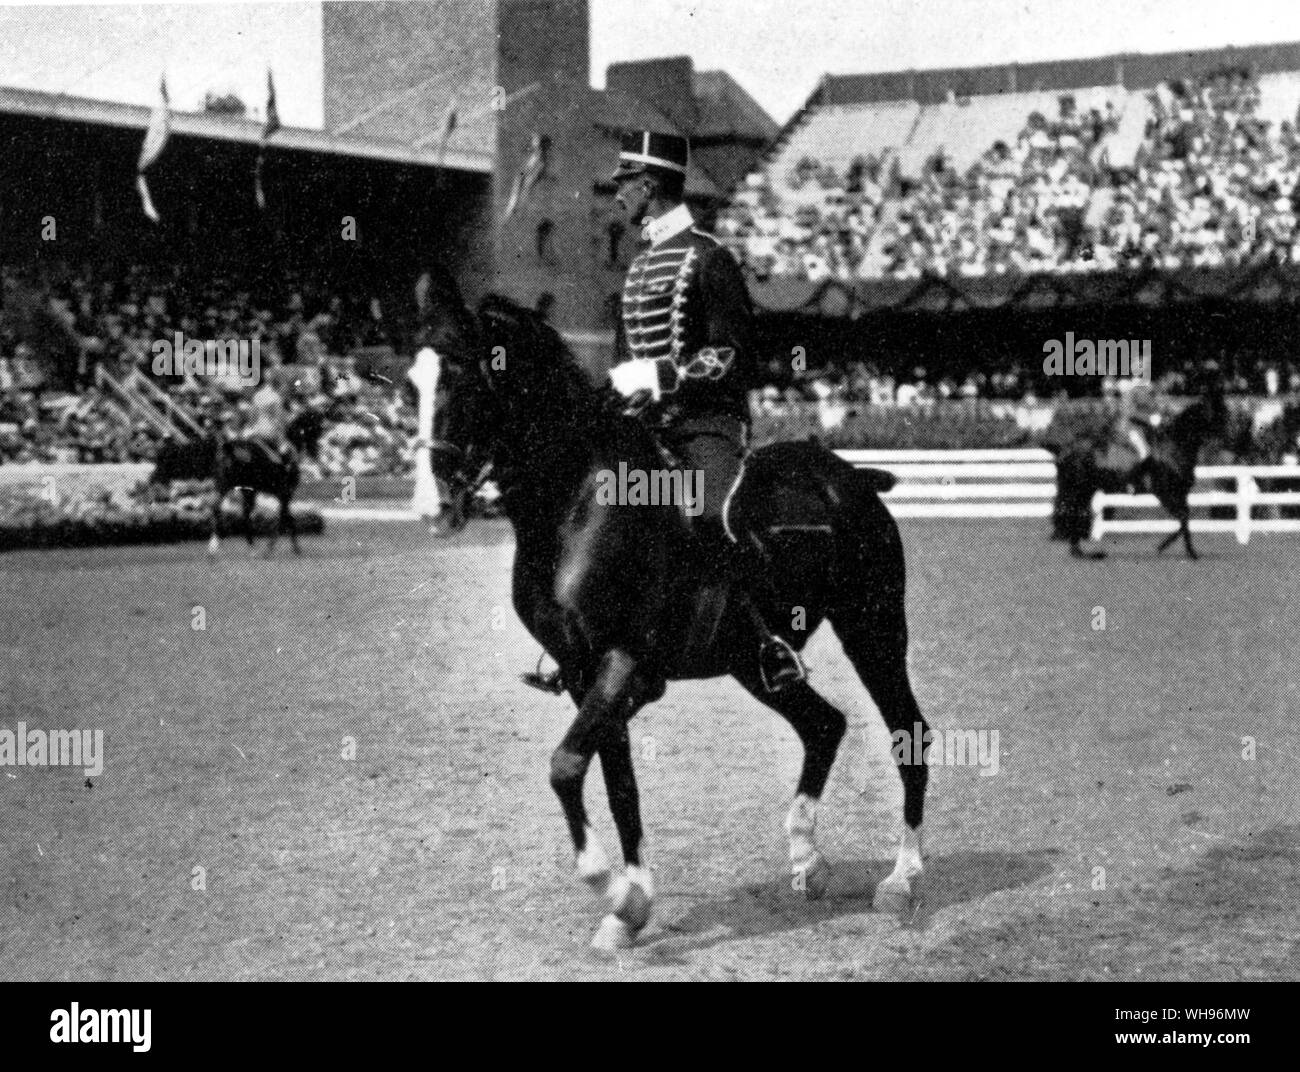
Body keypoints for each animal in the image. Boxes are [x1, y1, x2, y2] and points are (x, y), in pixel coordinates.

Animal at [148, 400, 327, 550]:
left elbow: (282, 517)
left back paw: (218, 547)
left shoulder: (263, 492)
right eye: (315, 426)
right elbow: (286, 518)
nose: (317, 450)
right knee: (229, 510)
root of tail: (228, 447)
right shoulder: (285, 493)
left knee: (218, 508)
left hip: (227, 486)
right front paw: (280, 546)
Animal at [421, 271, 930, 951]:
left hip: (872, 631)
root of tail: (850, 477)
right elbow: (618, 783)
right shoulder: (584, 672)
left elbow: (566, 766)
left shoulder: (621, 659)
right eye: (412, 381)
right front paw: (631, 907)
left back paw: (901, 880)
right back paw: (807, 861)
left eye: (462, 377)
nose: (436, 505)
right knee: (823, 724)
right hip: (752, 661)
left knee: (909, 735)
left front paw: (610, 887)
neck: (577, 503)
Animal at [1055, 379, 1227, 556]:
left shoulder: (1181, 493)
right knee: (1073, 511)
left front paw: (1178, 549)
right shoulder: (1164, 494)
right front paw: (1177, 550)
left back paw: (1078, 550)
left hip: (1087, 488)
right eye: (1218, 414)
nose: (1229, 441)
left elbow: (1185, 519)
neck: (1174, 447)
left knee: (1076, 511)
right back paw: (1077, 551)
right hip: (1079, 488)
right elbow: (1183, 517)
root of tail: (1068, 448)